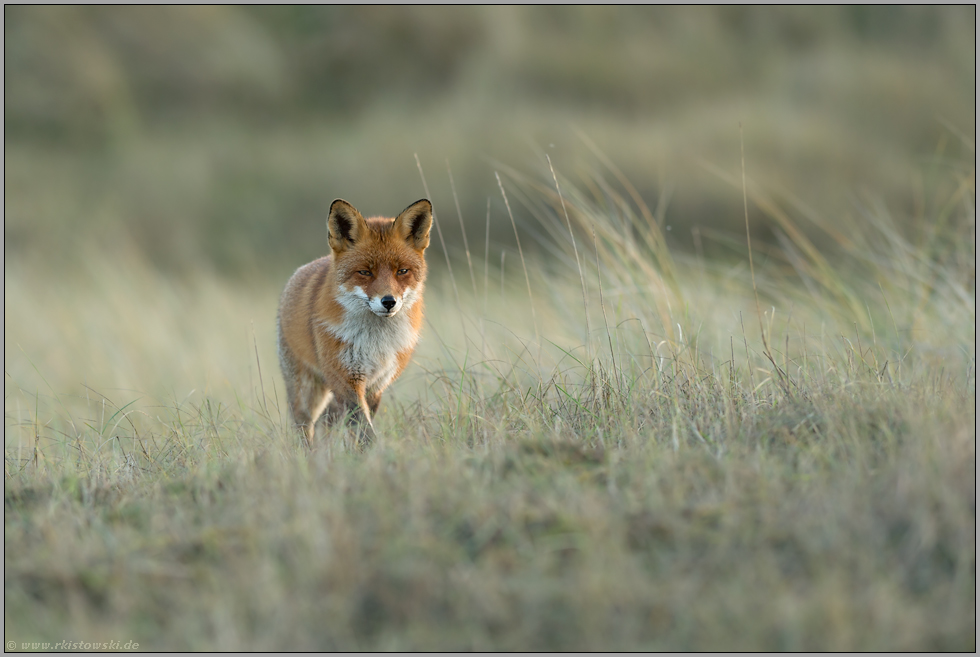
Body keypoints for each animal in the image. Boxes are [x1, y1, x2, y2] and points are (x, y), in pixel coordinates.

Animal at [276, 199, 428, 446]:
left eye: (402, 271)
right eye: (365, 272)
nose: (389, 302)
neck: (375, 341)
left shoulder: (376, 384)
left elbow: (362, 424)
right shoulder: (346, 378)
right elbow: (363, 427)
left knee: (327, 424)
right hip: (307, 391)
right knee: (305, 425)